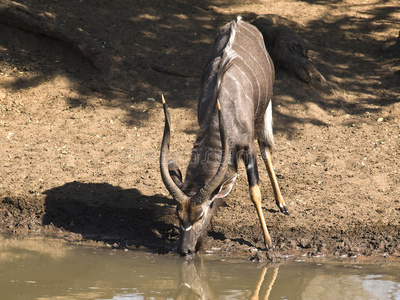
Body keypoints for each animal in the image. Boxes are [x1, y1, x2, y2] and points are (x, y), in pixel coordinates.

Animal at [159, 17, 288, 255]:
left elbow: (254, 191)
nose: (185, 250)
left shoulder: (247, 147)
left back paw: (282, 204)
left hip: (263, 111)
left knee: (266, 148)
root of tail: (240, 20)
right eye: (177, 215)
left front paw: (268, 242)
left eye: (200, 215)